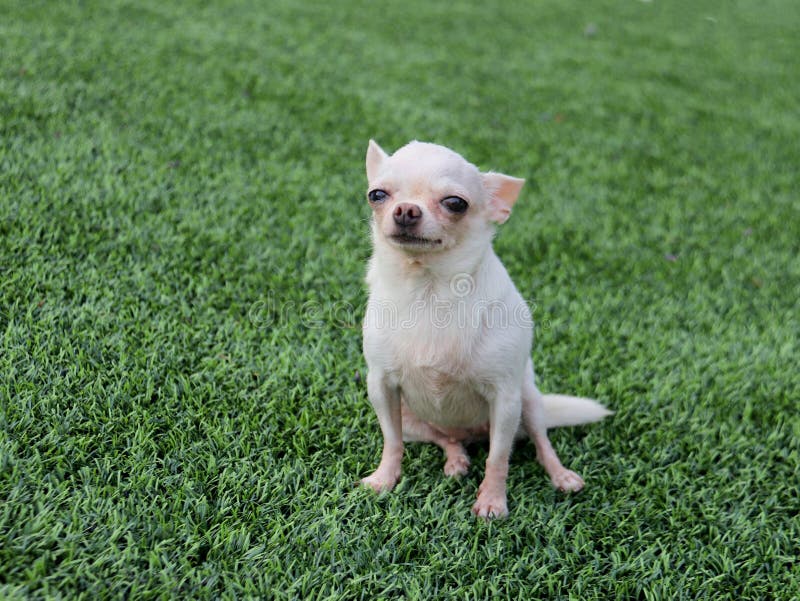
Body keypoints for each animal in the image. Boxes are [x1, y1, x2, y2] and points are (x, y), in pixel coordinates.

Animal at [360, 139, 608, 516]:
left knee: (540, 442)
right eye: (377, 194)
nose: (405, 210)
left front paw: (492, 500)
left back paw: (560, 475)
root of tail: (470, 434)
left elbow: (498, 458)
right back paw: (456, 459)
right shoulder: (381, 387)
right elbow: (391, 442)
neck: (429, 290)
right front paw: (385, 479)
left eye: (455, 203)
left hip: (528, 400)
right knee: (444, 438)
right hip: (412, 419)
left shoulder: (504, 399)